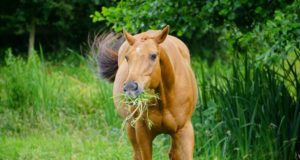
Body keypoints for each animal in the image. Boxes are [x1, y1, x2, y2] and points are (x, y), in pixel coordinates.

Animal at [92, 25, 198, 159]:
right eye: (127, 57)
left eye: (153, 55)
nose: (130, 88)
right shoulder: (142, 133)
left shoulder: (184, 131)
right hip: (131, 128)